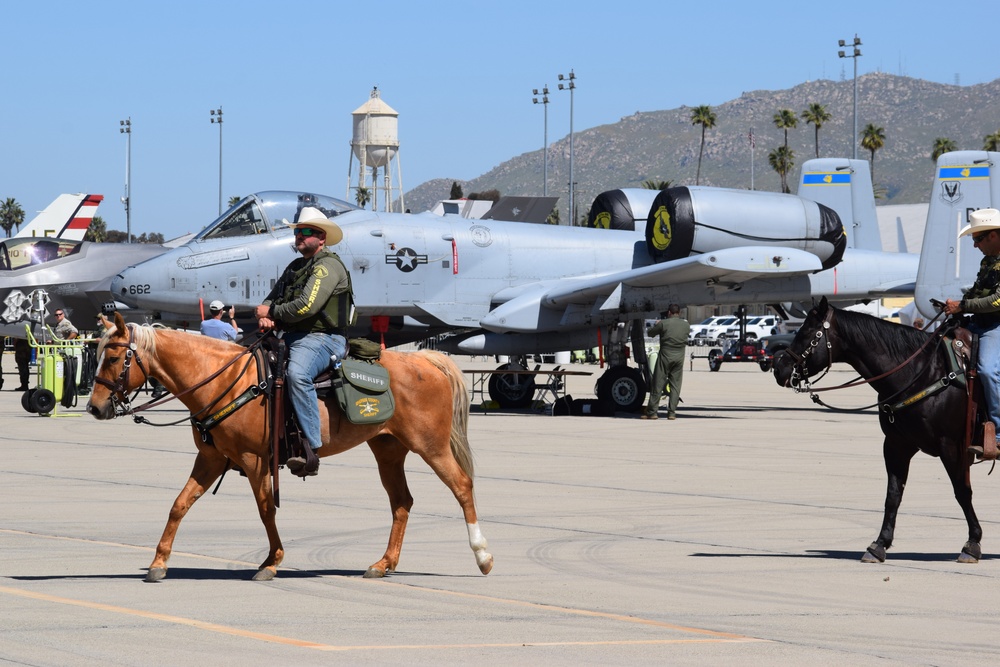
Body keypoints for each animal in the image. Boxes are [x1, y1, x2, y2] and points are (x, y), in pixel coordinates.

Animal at [86, 314, 492, 580]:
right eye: (98, 353)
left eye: (112, 357)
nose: (94, 407)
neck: (227, 382)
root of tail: (426, 359)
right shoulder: (212, 458)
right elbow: (179, 505)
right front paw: (159, 563)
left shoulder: (254, 460)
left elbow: (266, 510)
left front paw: (272, 561)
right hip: (388, 450)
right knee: (402, 502)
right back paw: (383, 564)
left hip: (431, 446)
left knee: (462, 486)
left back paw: (483, 556)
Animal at [772, 300, 984, 568]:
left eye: (809, 333)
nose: (779, 369)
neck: (922, 373)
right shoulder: (896, 445)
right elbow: (893, 495)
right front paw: (879, 544)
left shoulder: (951, 445)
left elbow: (962, 491)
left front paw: (972, 543)